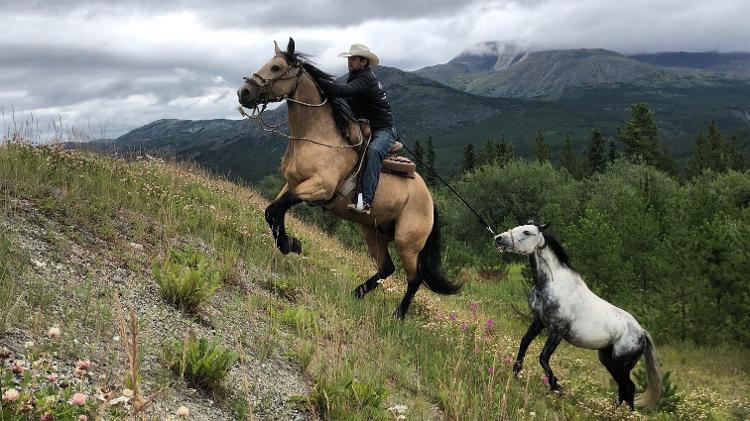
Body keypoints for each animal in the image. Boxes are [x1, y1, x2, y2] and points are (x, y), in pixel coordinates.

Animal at [239, 39, 464, 316]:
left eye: (276, 67)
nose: (244, 92)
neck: (315, 137)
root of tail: (431, 202)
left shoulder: (319, 188)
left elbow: (277, 209)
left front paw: (289, 243)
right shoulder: (292, 184)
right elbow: (273, 211)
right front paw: (290, 243)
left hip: (408, 243)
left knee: (414, 278)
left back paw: (397, 315)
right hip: (374, 232)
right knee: (386, 268)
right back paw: (356, 293)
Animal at [500, 225, 664, 408]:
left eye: (527, 232)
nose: (499, 239)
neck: (553, 284)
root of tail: (641, 332)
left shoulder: (558, 330)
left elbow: (543, 357)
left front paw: (557, 386)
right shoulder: (539, 321)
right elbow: (524, 343)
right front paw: (516, 372)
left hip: (621, 364)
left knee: (629, 387)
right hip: (607, 359)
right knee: (624, 388)